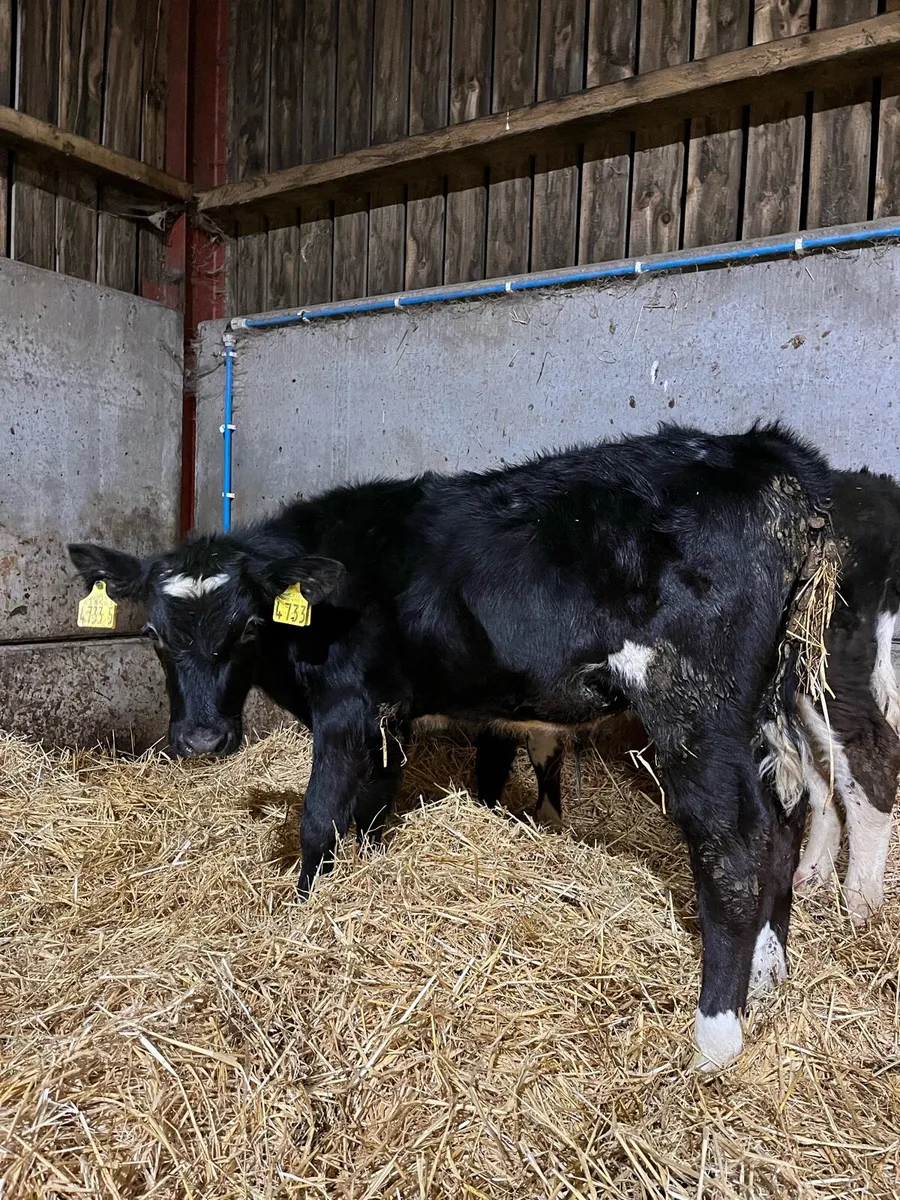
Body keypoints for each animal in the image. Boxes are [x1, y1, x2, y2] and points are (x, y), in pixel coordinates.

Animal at [69, 422, 831, 1070]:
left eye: (251, 627)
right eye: (152, 634)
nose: (201, 738)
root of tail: (762, 452)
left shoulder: (347, 704)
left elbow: (320, 818)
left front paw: (303, 914)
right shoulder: (391, 715)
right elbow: (374, 807)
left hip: (695, 695)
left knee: (733, 839)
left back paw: (715, 1035)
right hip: (770, 699)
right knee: (786, 817)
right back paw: (769, 973)